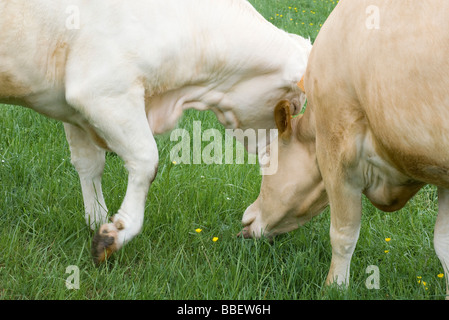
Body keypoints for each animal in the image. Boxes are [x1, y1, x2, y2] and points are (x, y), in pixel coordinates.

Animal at [0, 0, 312, 264]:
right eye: (293, 107)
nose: (271, 154)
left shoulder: (75, 113)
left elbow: (89, 166)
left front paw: (98, 219)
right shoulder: (102, 91)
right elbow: (146, 160)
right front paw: (115, 234)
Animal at [242, 0, 448, 298]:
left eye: (267, 158)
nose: (247, 219)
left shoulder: (337, 150)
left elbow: (343, 233)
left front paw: (335, 287)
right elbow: (444, 244)